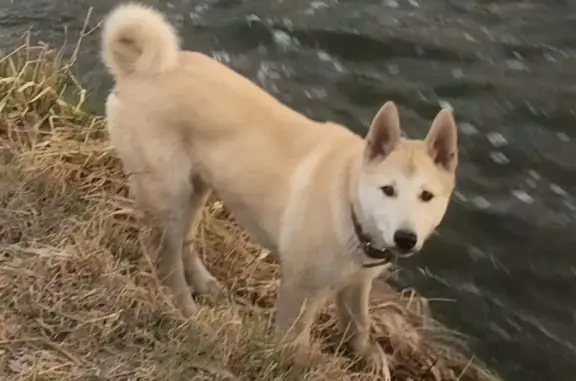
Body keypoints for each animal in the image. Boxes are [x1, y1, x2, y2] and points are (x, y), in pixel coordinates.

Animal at [100, 2, 460, 372]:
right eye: (387, 190)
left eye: (426, 196)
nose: (405, 238)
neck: (348, 201)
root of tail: (137, 72)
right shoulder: (299, 290)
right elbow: (291, 341)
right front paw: (297, 363)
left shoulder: (359, 283)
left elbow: (358, 324)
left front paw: (368, 357)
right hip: (167, 195)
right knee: (166, 257)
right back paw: (186, 308)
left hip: (196, 189)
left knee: (186, 242)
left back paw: (204, 284)